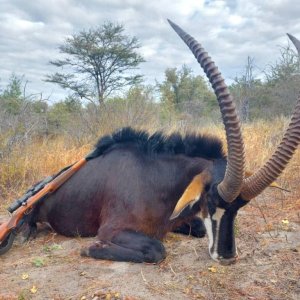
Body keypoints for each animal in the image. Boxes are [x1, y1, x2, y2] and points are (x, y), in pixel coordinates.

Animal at [2, 20, 300, 264]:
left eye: (240, 207)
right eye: (211, 199)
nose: (226, 256)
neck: (157, 180)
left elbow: (196, 228)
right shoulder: (113, 229)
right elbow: (157, 249)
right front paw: (90, 248)